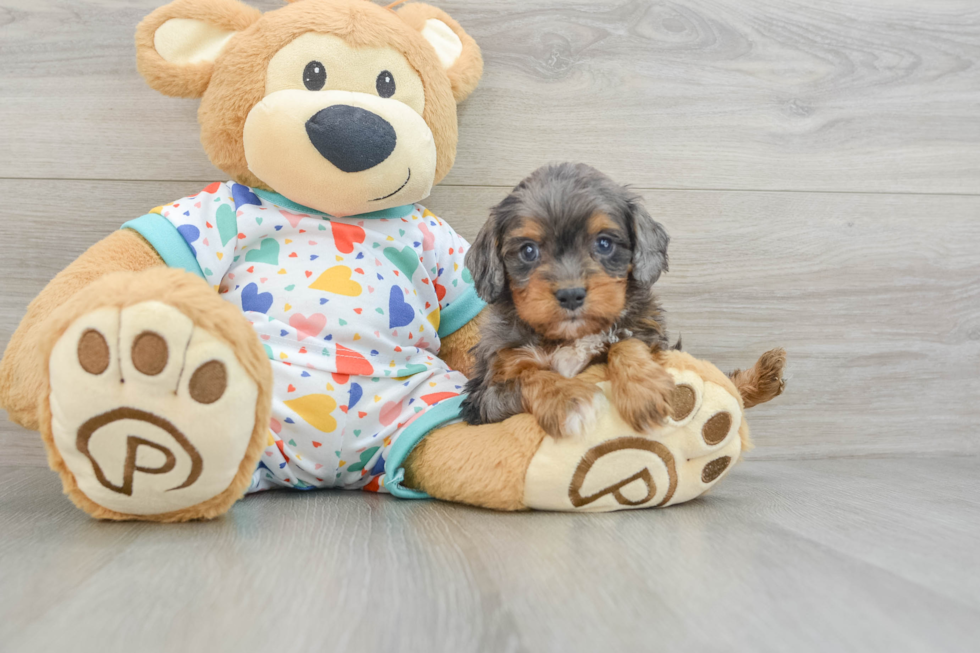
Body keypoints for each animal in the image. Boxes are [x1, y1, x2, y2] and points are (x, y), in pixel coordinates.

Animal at [464, 163, 676, 438]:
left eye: (604, 243)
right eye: (528, 250)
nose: (571, 295)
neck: (569, 338)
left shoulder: (646, 328)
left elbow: (627, 342)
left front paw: (643, 389)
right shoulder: (485, 395)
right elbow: (530, 376)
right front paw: (567, 400)